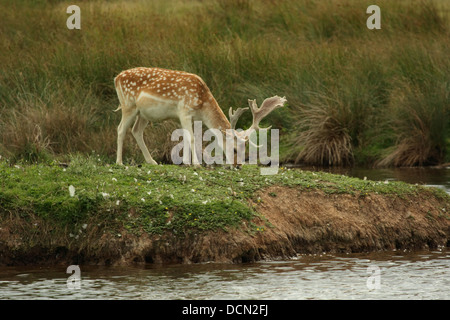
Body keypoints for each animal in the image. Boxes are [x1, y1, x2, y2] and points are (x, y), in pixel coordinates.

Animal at [114, 67, 286, 166]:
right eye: (235, 149)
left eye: (246, 149)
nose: (238, 165)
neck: (202, 104)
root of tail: (116, 78)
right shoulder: (184, 111)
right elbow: (191, 138)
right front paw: (196, 164)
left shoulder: (192, 117)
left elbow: (189, 137)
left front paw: (186, 162)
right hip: (128, 105)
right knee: (121, 129)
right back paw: (119, 162)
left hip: (143, 113)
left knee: (136, 130)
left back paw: (152, 161)